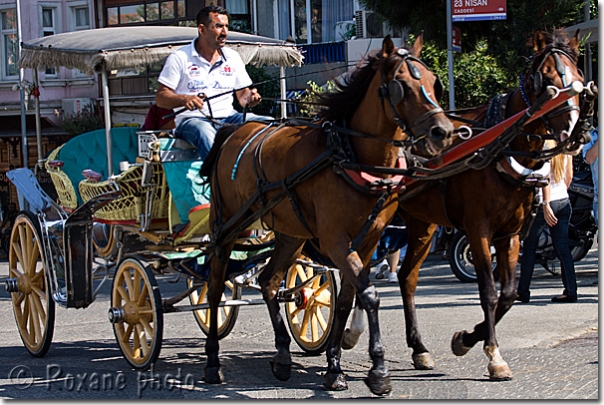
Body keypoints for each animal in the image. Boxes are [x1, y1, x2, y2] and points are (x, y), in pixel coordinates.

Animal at [202, 35, 452, 394]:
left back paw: (282, 355)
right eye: (401, 86)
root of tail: (233, 132)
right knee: (214, 286)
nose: (442, 132)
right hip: (227, 226)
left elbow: (347, 299)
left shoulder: (367, 241)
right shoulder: (336, 241)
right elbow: (370, 295)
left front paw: (334, 366)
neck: (349, 155)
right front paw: (379, 370)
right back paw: (212, 361)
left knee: (269, 281)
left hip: (291, 234)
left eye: (434, 83)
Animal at [342, 29, 588, 378]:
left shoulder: (511, 234)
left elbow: (508, 295)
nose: (572, 132)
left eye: (579, 77)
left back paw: (418, 348)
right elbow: (488, 292)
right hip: (378, 222)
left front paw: (467, 339)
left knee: (407, 278)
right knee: (360, 268)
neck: (501, 147)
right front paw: (493, 355)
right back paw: (353, 331)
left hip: (421, 224)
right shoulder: (478, 230)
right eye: (548, 79)